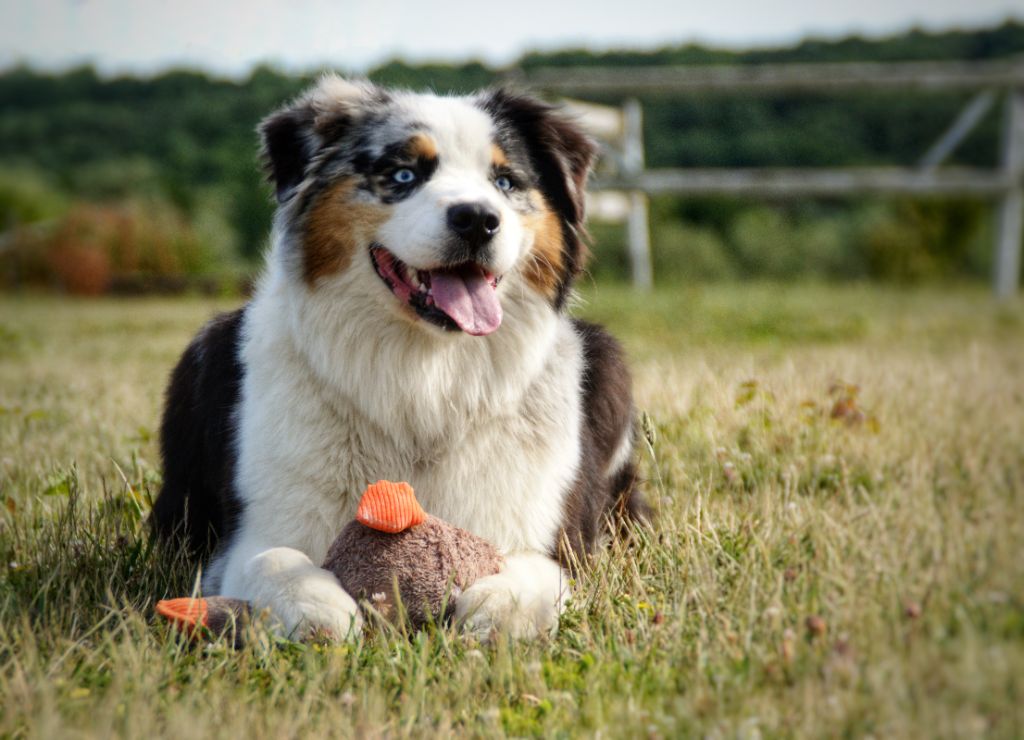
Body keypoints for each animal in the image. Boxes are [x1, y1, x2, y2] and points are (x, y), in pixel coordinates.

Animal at [151, 76, 647, 642]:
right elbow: (273, 560)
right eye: (404, 174)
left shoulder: (558, 534)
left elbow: (539, 574)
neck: (423, 381)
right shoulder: (249, 535)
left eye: (504, 181)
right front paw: (320, 608)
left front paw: (494, 611)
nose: (478, 219)